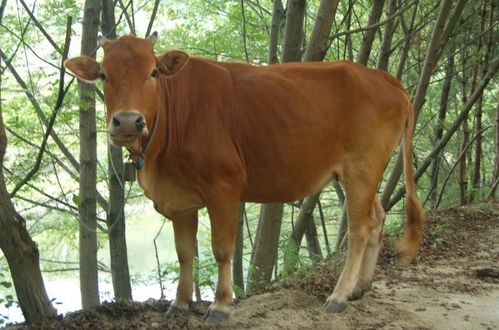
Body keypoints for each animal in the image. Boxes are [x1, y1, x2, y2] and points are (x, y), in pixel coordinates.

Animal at [65, 34, 426, 324]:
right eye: (103, 74)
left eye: (153, 72)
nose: (128, 122)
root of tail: (381, 76)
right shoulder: (181, 200)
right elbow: (184, 252)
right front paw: (179, 303)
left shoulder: (223, 186)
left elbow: (222, 249)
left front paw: (221, 305)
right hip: (357, 173)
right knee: (376, 217)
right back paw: (359, 287)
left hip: (361, 167)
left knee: (360, 228)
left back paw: (338, 296)